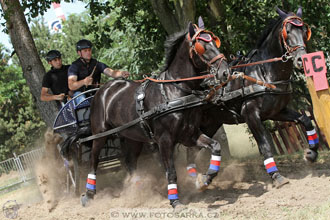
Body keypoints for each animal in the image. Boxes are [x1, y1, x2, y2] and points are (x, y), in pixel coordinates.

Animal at [80, 18, 231, 209]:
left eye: (215, 41)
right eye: (201, 46)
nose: (225, 71)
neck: (175, 92)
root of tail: (103, 89)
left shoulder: (189, 134)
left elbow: (215, 146)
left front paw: (205, 179)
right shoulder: (165, 140)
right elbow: (171, 171)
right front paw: (175, 201)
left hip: (133, 137)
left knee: (130, 161)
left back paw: (138, 190)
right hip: (100, 134)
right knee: (94, 160)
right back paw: (89, 195)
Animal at [187, 6, 316, 188]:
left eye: (305, 31)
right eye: (288, 31)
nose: (300, 60)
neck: (264, 73)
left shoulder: (278, 111)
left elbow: (305, 120)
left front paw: (311, 152)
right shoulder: (250, 114)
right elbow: (265, 145)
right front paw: (276, 176)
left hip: (210, 124)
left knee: (192, 150)